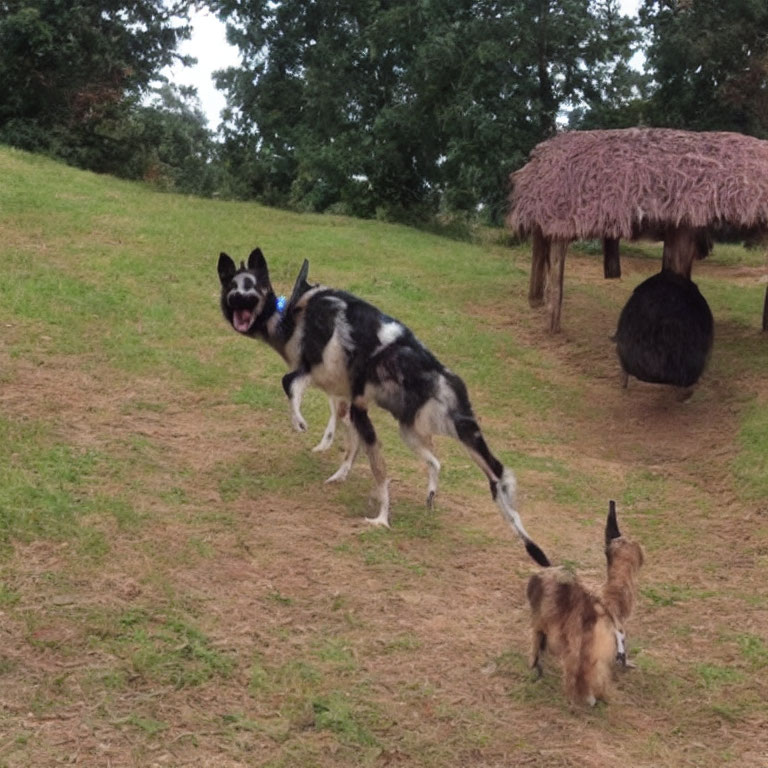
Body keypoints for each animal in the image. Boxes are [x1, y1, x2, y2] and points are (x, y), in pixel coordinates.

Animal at [219, 246, 548, 564]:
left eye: (252, 286)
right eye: (231, 285)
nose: (238, 299)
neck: (292, 315)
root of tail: (443, 377)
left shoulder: (326, 381)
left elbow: (290, 384)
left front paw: (300, 422)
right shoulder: (347, 399)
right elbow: (347, 443)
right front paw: (335, 467)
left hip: (445, 430)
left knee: (495, 475)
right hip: (414, 430)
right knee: (440, 463)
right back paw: (433, 498)